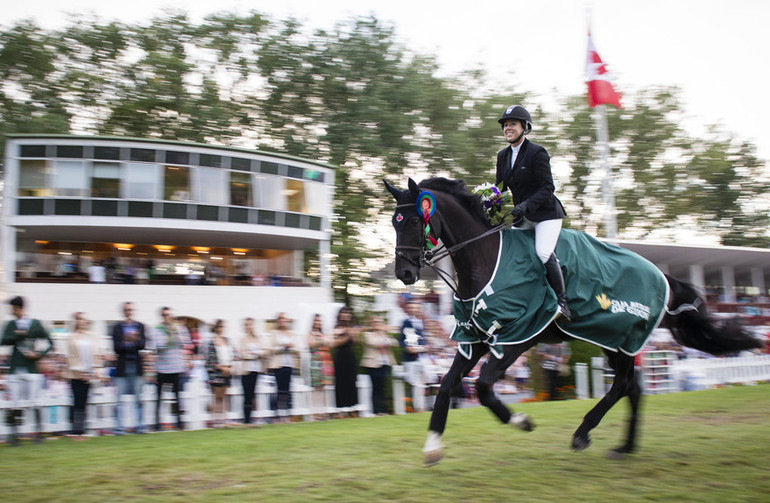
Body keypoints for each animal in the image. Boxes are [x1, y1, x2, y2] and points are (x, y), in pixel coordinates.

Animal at [384, 176, 756, 464]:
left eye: (414, 221)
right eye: (393, 222)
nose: (404, 273)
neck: (485, 260)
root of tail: (661, 274)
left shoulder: (518, 338)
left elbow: (485, 387)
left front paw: (522, 421)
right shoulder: (475, 339)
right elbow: (448, 385)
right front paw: (432, 447)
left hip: (622, 340)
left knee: (622, 386)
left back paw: (583, 433)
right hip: (610, 341)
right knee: (633, 389)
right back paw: (624, 447)